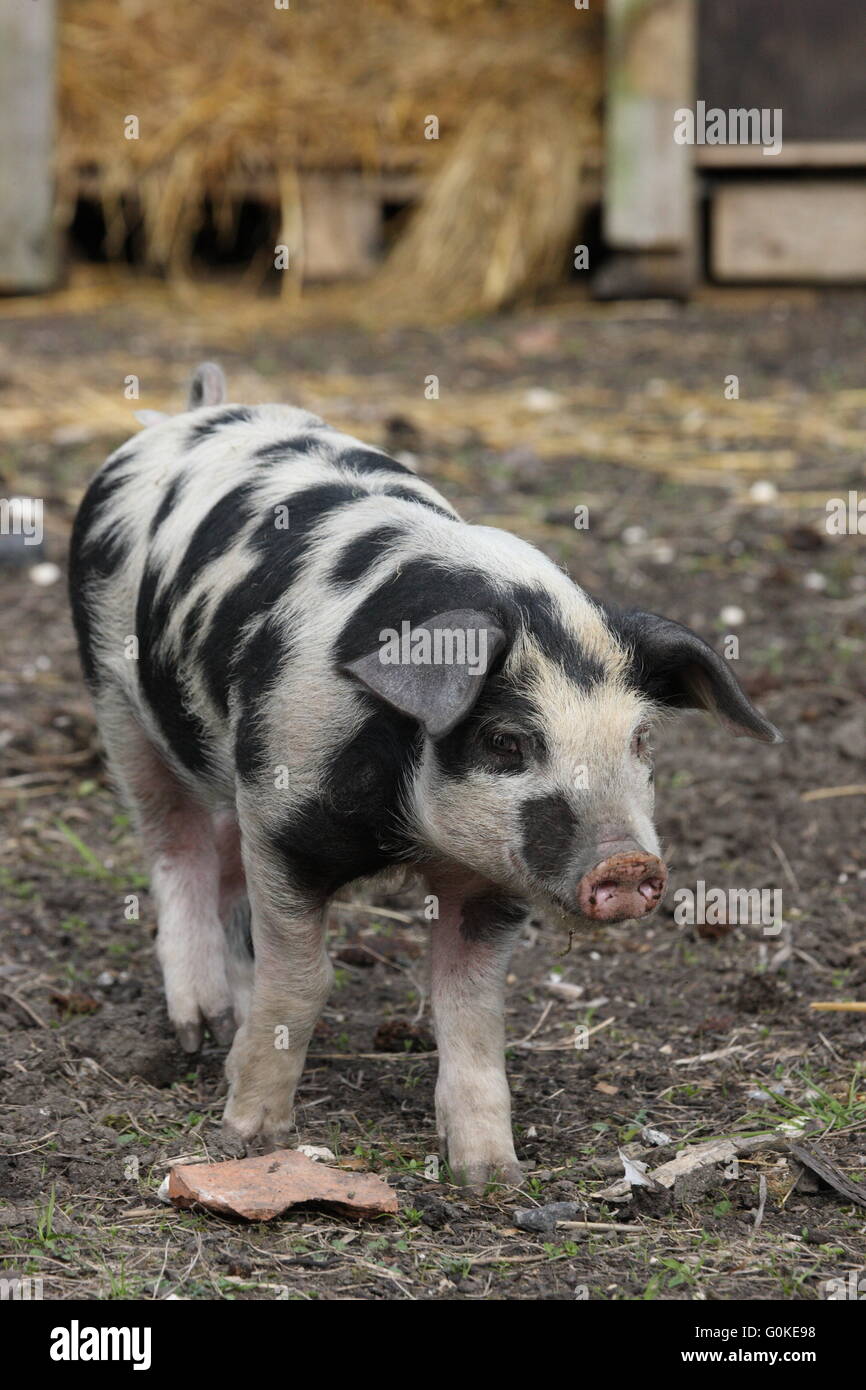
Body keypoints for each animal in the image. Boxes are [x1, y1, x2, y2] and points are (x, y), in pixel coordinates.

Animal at [68, 363, 781, 1186]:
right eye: (506, 741)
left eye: (640, 739)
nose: (627, 863)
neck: (407, 834)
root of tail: (195, 412)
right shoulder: (283, 821)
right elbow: (303, 982)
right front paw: (247, 1139)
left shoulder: (491, 883)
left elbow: (470, 1011)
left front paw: (491, 1177)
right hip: (116, 700)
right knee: (172, 840)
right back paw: (199, 1029)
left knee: (218, 855)